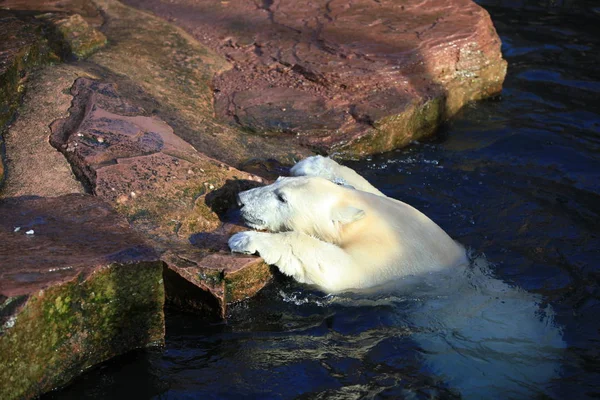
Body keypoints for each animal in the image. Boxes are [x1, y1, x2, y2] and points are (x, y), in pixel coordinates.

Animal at [227, 159, 466, 294]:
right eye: (277, 180)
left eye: (282, 198)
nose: (240, 199)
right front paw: (311, 164)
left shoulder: (389, 257)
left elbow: (341, 269)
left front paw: (244, 239)